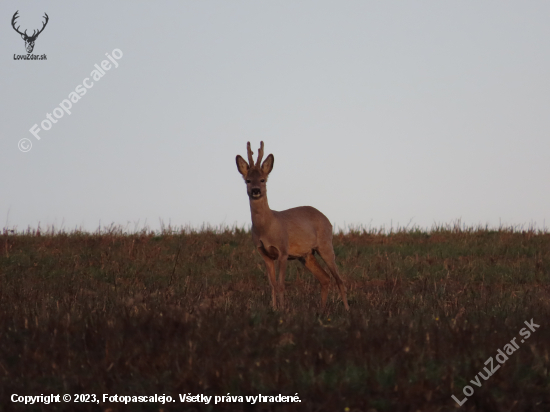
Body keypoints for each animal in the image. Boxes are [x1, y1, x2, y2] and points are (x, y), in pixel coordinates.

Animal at [236, 141, 350, 308]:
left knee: (339, 279)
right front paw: (274, 309)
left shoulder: (283, 250)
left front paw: (283, 309)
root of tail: (327, 220)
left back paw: (347, 309)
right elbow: (272, 284)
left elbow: (281, 284)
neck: (266, 227)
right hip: (306, 255)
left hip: (325, 244)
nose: (256, 190)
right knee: (325, 278)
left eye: (263, 179)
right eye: (248, 180)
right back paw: (322, 310)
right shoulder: (264, 253)